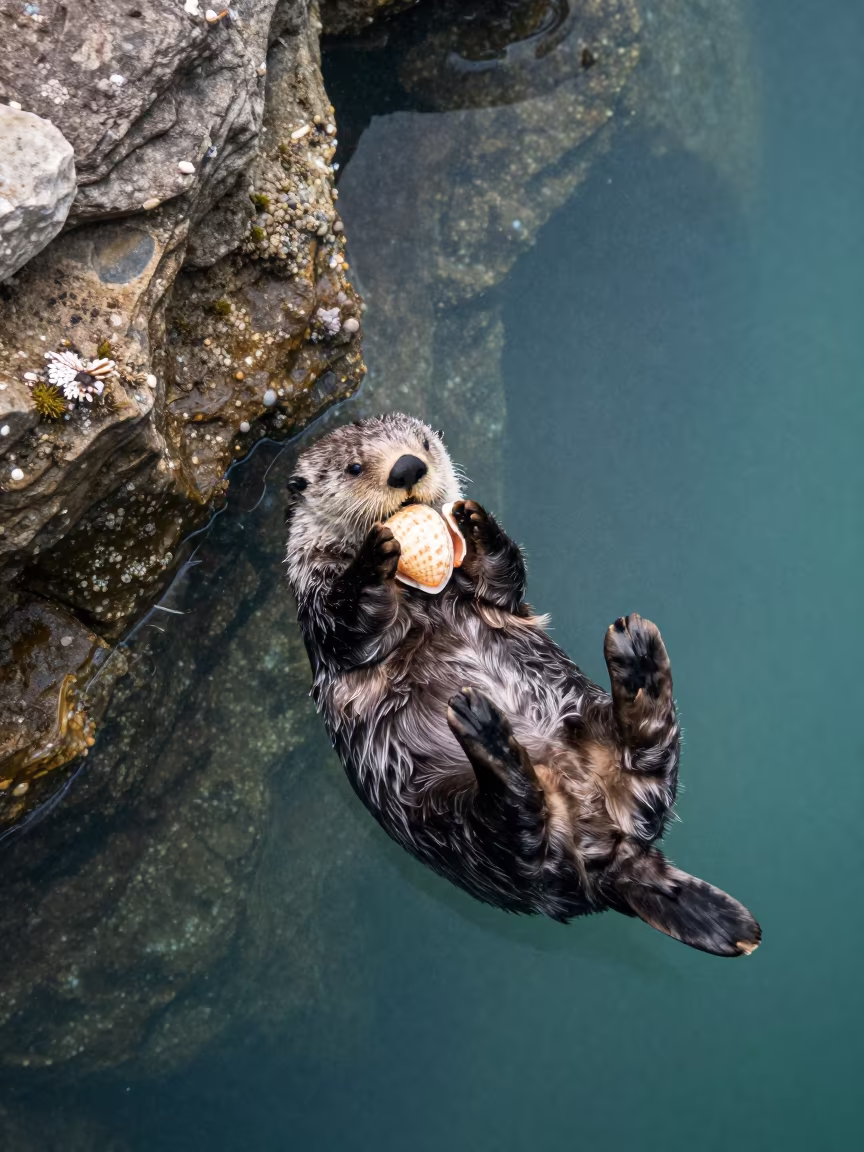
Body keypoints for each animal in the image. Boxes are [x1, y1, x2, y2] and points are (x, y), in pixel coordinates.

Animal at [285, 413, 760, 956]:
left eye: (424, 443)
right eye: (354, 467)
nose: (408, 467)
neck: (423, 592)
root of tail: (608, 856)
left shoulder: (496, 596)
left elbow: (504, 581)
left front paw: (476, 521)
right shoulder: (318, 605)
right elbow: (347, 622)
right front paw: (373, 555)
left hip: (591, 721)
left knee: (649, 754)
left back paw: (635, 656)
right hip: (450, 822)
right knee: (513, 818)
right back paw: (487, 733)